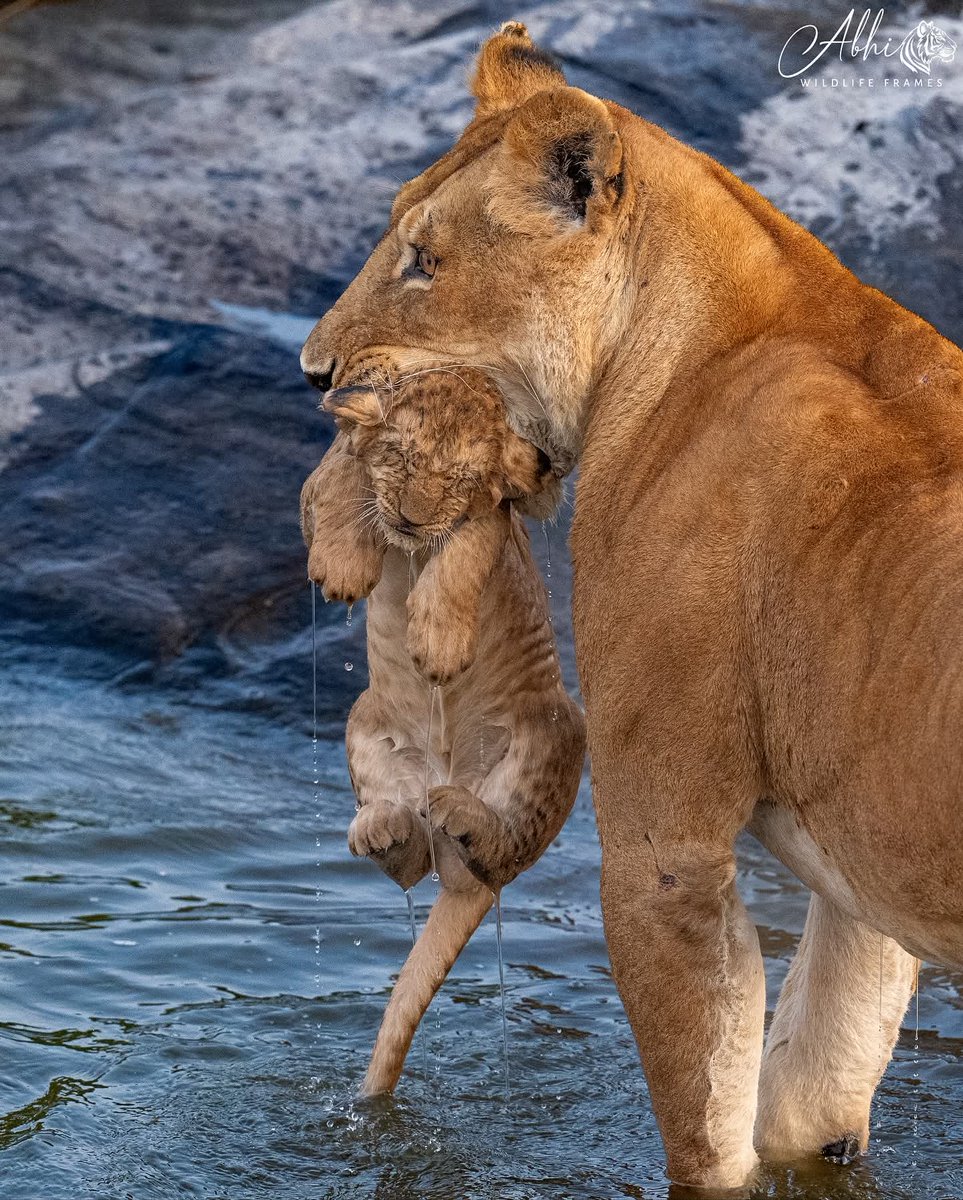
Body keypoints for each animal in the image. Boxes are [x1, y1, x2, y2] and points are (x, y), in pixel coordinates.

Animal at [301, 368, 585, 1095]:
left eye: (459, 477)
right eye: (401, 458)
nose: (407, 517)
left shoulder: (498, 519)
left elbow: (467, 541)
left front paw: (435, 642)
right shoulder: (327, 484)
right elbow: (338, 482)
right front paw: (344, 565)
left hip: (555, 731)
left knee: (499, 853)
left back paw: (462, 815)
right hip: (363, 723)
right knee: (410, 862)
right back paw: (384, 826)